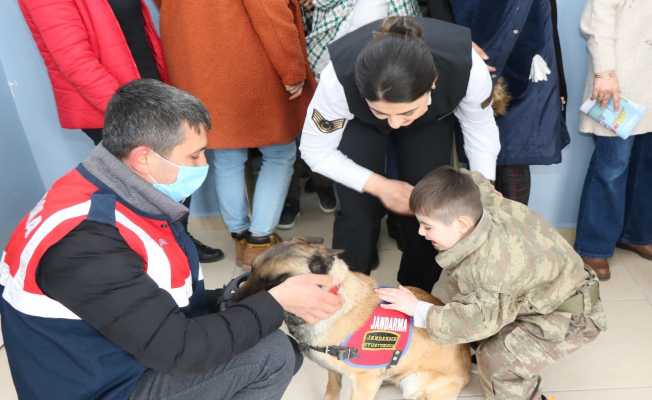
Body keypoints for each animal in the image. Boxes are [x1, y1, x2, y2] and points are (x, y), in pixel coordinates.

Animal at [234, 241, 468, 400]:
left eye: (276, 283)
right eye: (251, 269)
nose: (230, 302)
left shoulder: (364, 384)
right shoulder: (335, 372)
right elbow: (332, 388)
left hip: (415, 385)